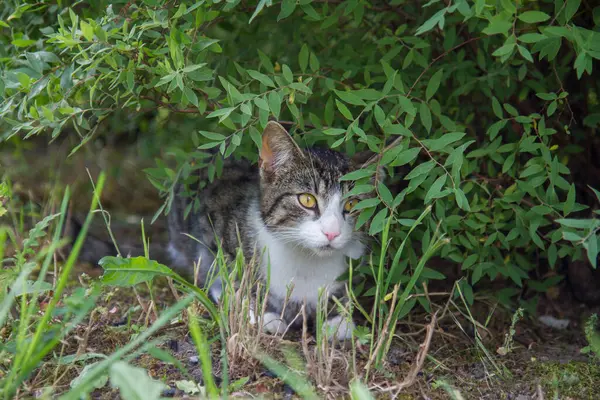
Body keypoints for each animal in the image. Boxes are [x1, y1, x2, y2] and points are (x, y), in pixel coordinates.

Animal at [166, 122, 378, 340]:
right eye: (307, 200)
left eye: (352, 204)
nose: (332, 233)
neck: (306, 258)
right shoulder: (213, 222)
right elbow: (235, 273)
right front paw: (262, 313)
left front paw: (337, 319)